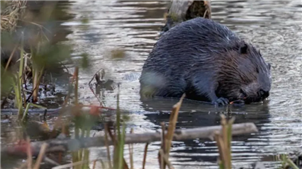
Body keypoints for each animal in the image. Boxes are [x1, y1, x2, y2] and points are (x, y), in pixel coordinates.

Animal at [139, 17, 272, 106]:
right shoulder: (205, 64)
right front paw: (220, 100)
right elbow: (198, 84)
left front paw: (238, 101)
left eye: (269, 72)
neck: (218, 52)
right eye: (256, 69)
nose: (265, 92)